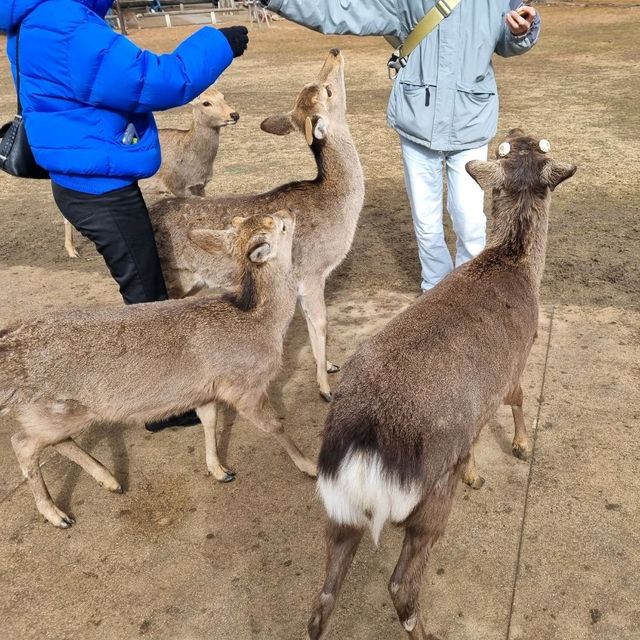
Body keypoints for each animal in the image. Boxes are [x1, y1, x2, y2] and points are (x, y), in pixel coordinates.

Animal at [1, 210, 316, 528]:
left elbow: (209, 420)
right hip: (55, 410)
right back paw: (58, 514)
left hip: (55, 414)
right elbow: (275, 425)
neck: (263, 323)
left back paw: (110, 480)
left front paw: (219, 470)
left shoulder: (204, 389)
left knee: (54, 441)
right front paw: (310, 466)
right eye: (280, 225)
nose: (289, 212)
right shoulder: (244, 386)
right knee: (22, 444)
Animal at [63, 88, 240, 258]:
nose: (234, 114)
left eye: (223, 97)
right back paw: (73, 252)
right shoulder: (176, 186)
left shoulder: (200, 186)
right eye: (206, 103)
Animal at [147, 48, 362, 400]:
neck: (339, 206)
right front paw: (326, 388)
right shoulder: (312, 270)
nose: (334, 51)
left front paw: (330, 366)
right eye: (327, 91)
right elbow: (320, 323)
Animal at [304, 131, 576, 640]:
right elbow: (519, 399)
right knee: (401, 585)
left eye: (524, 145)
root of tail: (362, 447)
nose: (519, 130)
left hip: (339, 510)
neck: (519, 266)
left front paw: (475, 470)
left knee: (323, 598)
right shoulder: (516, 361)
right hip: (429, 498)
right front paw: (521, 446)